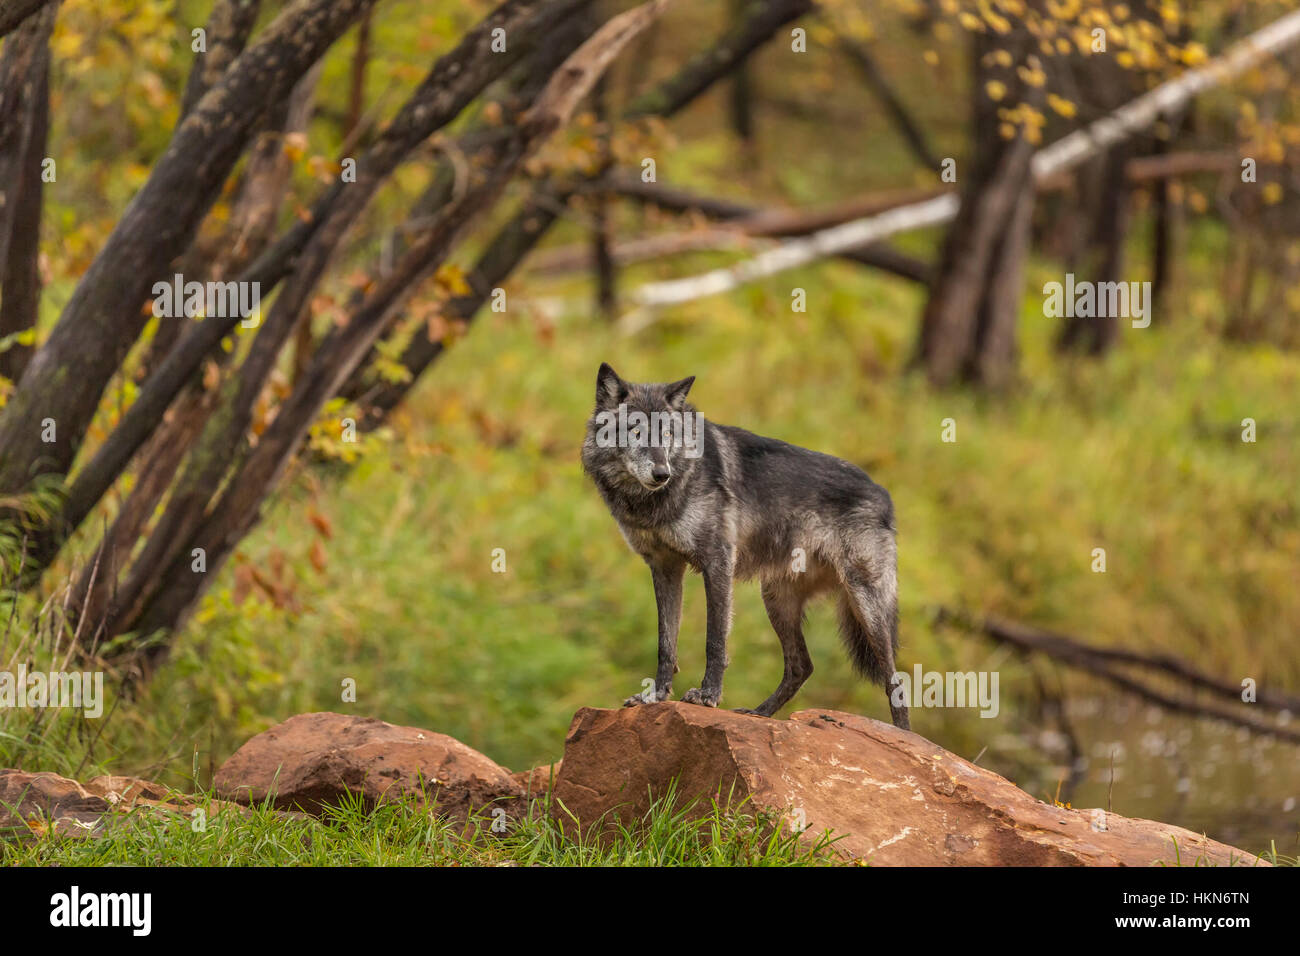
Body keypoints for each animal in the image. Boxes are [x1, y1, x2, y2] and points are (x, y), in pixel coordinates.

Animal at [585, 361, 909, 728]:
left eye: (667, 435)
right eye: (636, 432)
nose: (661, 474)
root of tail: (883, 493)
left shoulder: (718, 562)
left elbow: (715, 640)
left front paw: (707, 696)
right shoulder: (665, 568)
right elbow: (666, 643)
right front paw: (654, 697)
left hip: (867, 606)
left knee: (895, 679)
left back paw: (903, 735)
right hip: (777, 600)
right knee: (801, 666)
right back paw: (759, 713)